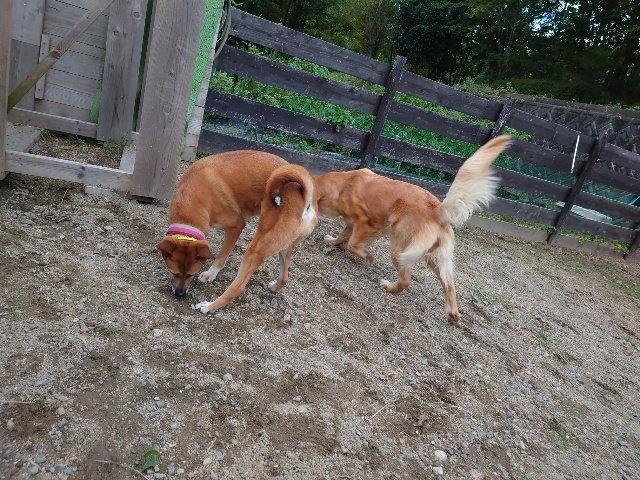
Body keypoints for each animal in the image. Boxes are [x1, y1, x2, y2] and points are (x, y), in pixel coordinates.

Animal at [157, 150, 288, 297]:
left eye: (191, 274)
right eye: (174, 273)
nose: (180, 294)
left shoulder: (236, 227)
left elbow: (222, 255)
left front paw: (211, 273)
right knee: (285, 276)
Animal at [195, 163, 317, 313]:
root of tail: (307, 203)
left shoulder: (235, 227)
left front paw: (210, 274)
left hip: (254, 251)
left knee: (238, 287)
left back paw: (209, 306)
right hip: (284, 248)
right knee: (284, 277)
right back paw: (274, 287)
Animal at [313, 135, 512, 325]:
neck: (344, 185)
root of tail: (437, 209)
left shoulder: (367, 222)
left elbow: (352, 244)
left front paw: (367, 257)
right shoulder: (352, 223)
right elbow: (343, 236)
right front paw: (333, 241)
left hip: (400, 249)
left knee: (406, 280)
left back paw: (389, 287)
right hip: (436, 258)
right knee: (449, 285)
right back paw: (453, 315)